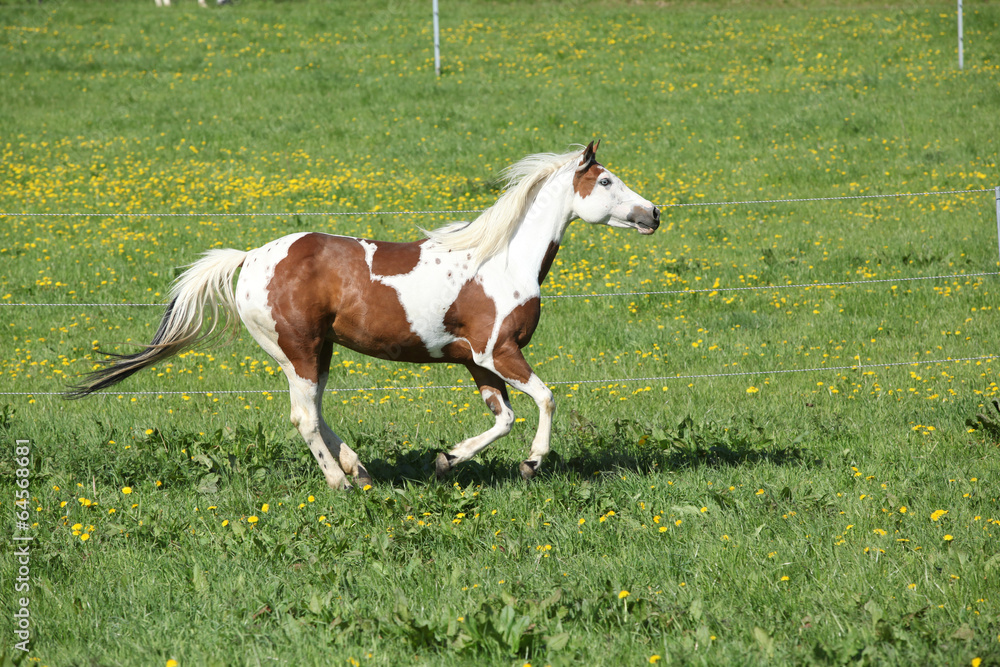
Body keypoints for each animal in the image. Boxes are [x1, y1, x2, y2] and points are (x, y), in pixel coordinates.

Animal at [67, 142, 660, 489]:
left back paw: (360, 468)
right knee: (304, 418)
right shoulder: (499, 351)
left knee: (313, 412)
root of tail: (250, 258)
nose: (653, 213)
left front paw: (447, 459)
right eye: (606, 182)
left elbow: (503, 417)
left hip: (312, 352)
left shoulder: (476, 362)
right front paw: (532, 462)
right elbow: (546, 398)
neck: (503, 260)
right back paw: (342, 483)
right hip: (302, 350)